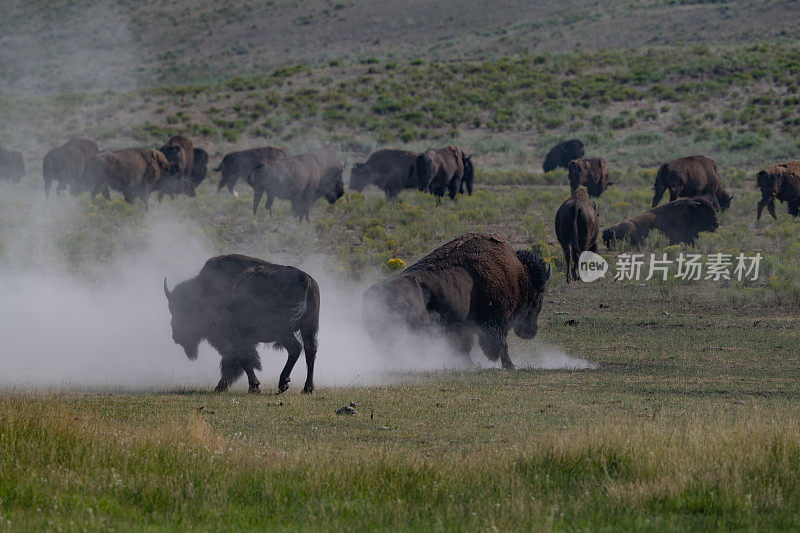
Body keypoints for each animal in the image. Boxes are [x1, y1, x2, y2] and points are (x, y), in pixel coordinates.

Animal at [164, 251, 320, 392]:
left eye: (179, 310)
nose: (175, 336)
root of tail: (304, 279)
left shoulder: (235, 339)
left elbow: (242, 360)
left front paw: (252, 387)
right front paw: (224, 386)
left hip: (283, 331)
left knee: (295, 348)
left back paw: (283, 383)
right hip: (308, 328)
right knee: (310, 351)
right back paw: (307, 388)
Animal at [362, 233, 552, 370]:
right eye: (538, 297)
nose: (531, 331)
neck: (520, 276)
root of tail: (372, 293)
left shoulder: (463, 325)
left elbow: (465, 346)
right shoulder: (496, 320)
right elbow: (501, 344)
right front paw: (510, 365)